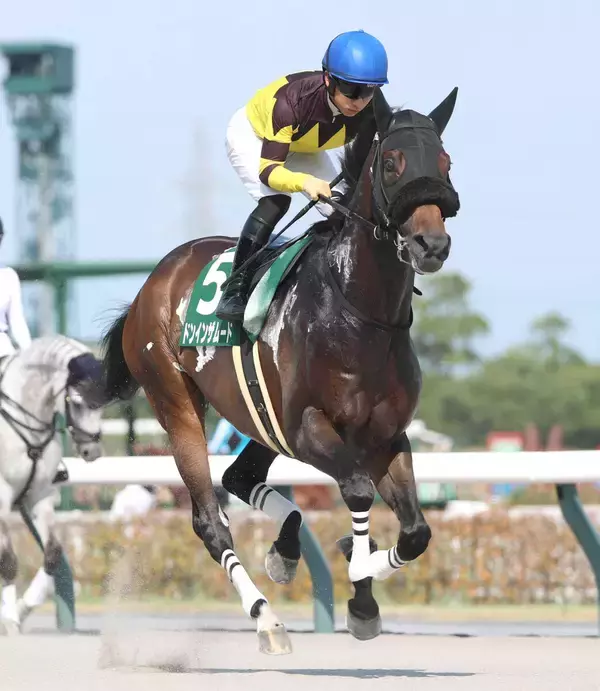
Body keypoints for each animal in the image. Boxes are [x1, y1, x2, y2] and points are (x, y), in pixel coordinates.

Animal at [0, 334, 108, 634]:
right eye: (77, 401)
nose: (92, 451)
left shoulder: (41, 496)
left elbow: (53, 555)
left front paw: (23, 608)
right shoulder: (2, 496)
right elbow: (8, 561)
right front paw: (9, 619)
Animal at [100, 87, 461, 654]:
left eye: (445, 162)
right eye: (392, 161)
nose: (432, 245)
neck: (361, 314)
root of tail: (151, 284)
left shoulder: (387, 437)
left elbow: (416, 531)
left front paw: (357, 569)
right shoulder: (308, 427)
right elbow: (358, 490)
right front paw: (358, 581)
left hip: (259, 418)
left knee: (239, 475)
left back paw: (287, 549)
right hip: (177, 403)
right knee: (210, 520)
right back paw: (266, 618)